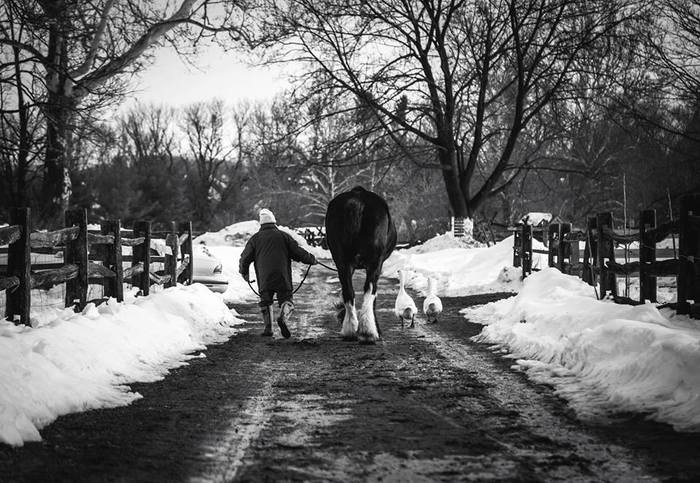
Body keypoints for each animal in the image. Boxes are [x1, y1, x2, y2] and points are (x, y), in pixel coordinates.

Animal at [326, 186, 396, 344]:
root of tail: (356, 202)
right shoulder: (378, 264)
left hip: (342, 262)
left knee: (348, 292)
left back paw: (350, 331)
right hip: (374, 263)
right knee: (369, 290)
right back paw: (368, 332)